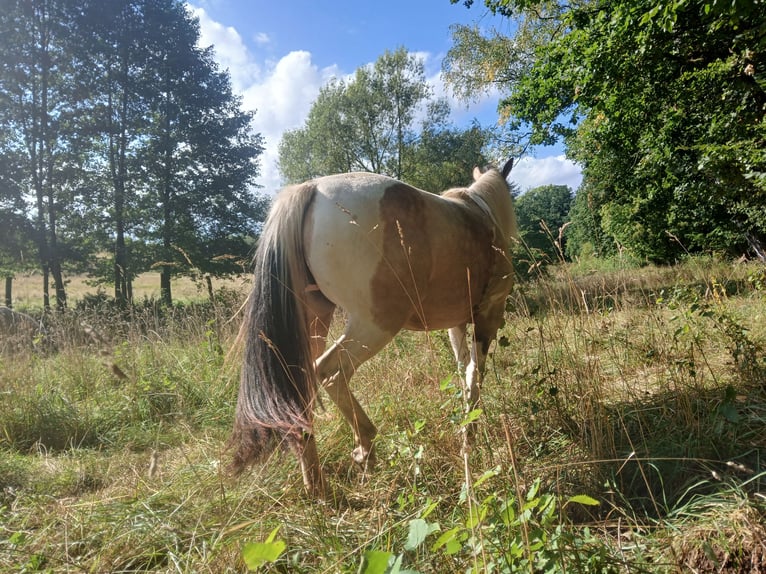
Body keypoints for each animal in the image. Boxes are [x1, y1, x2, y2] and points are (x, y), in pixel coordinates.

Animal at [230, 159, 517, 497]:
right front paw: (470, 436)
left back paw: (317, 487)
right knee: (330, 372)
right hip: (375, 325)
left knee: (300, 389)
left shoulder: (456, 325)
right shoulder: (488, 315)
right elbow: (475, 374)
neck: (481, 214)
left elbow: (463, 371)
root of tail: (311, 188)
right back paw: (365, 448)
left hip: (313, 323)